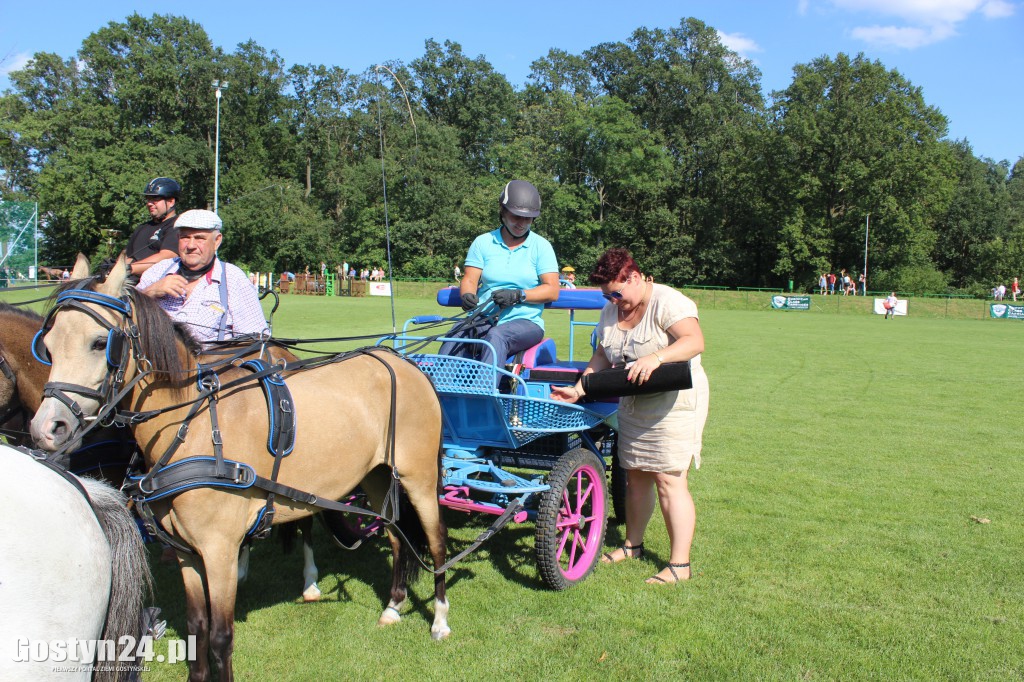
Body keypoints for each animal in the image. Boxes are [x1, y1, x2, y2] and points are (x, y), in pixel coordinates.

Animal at [29, 253, 448, 679]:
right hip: (377, 477)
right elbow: (196, 629)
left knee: (436, 541)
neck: (193, 427)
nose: (47, 428)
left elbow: (220, 637)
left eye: (100, 343)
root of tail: (403, 361)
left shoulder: (219, 551)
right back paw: (393, 605)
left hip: (419, 477)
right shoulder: (186, 552)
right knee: (396, 535)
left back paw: (439, 619)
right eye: (48, 345)